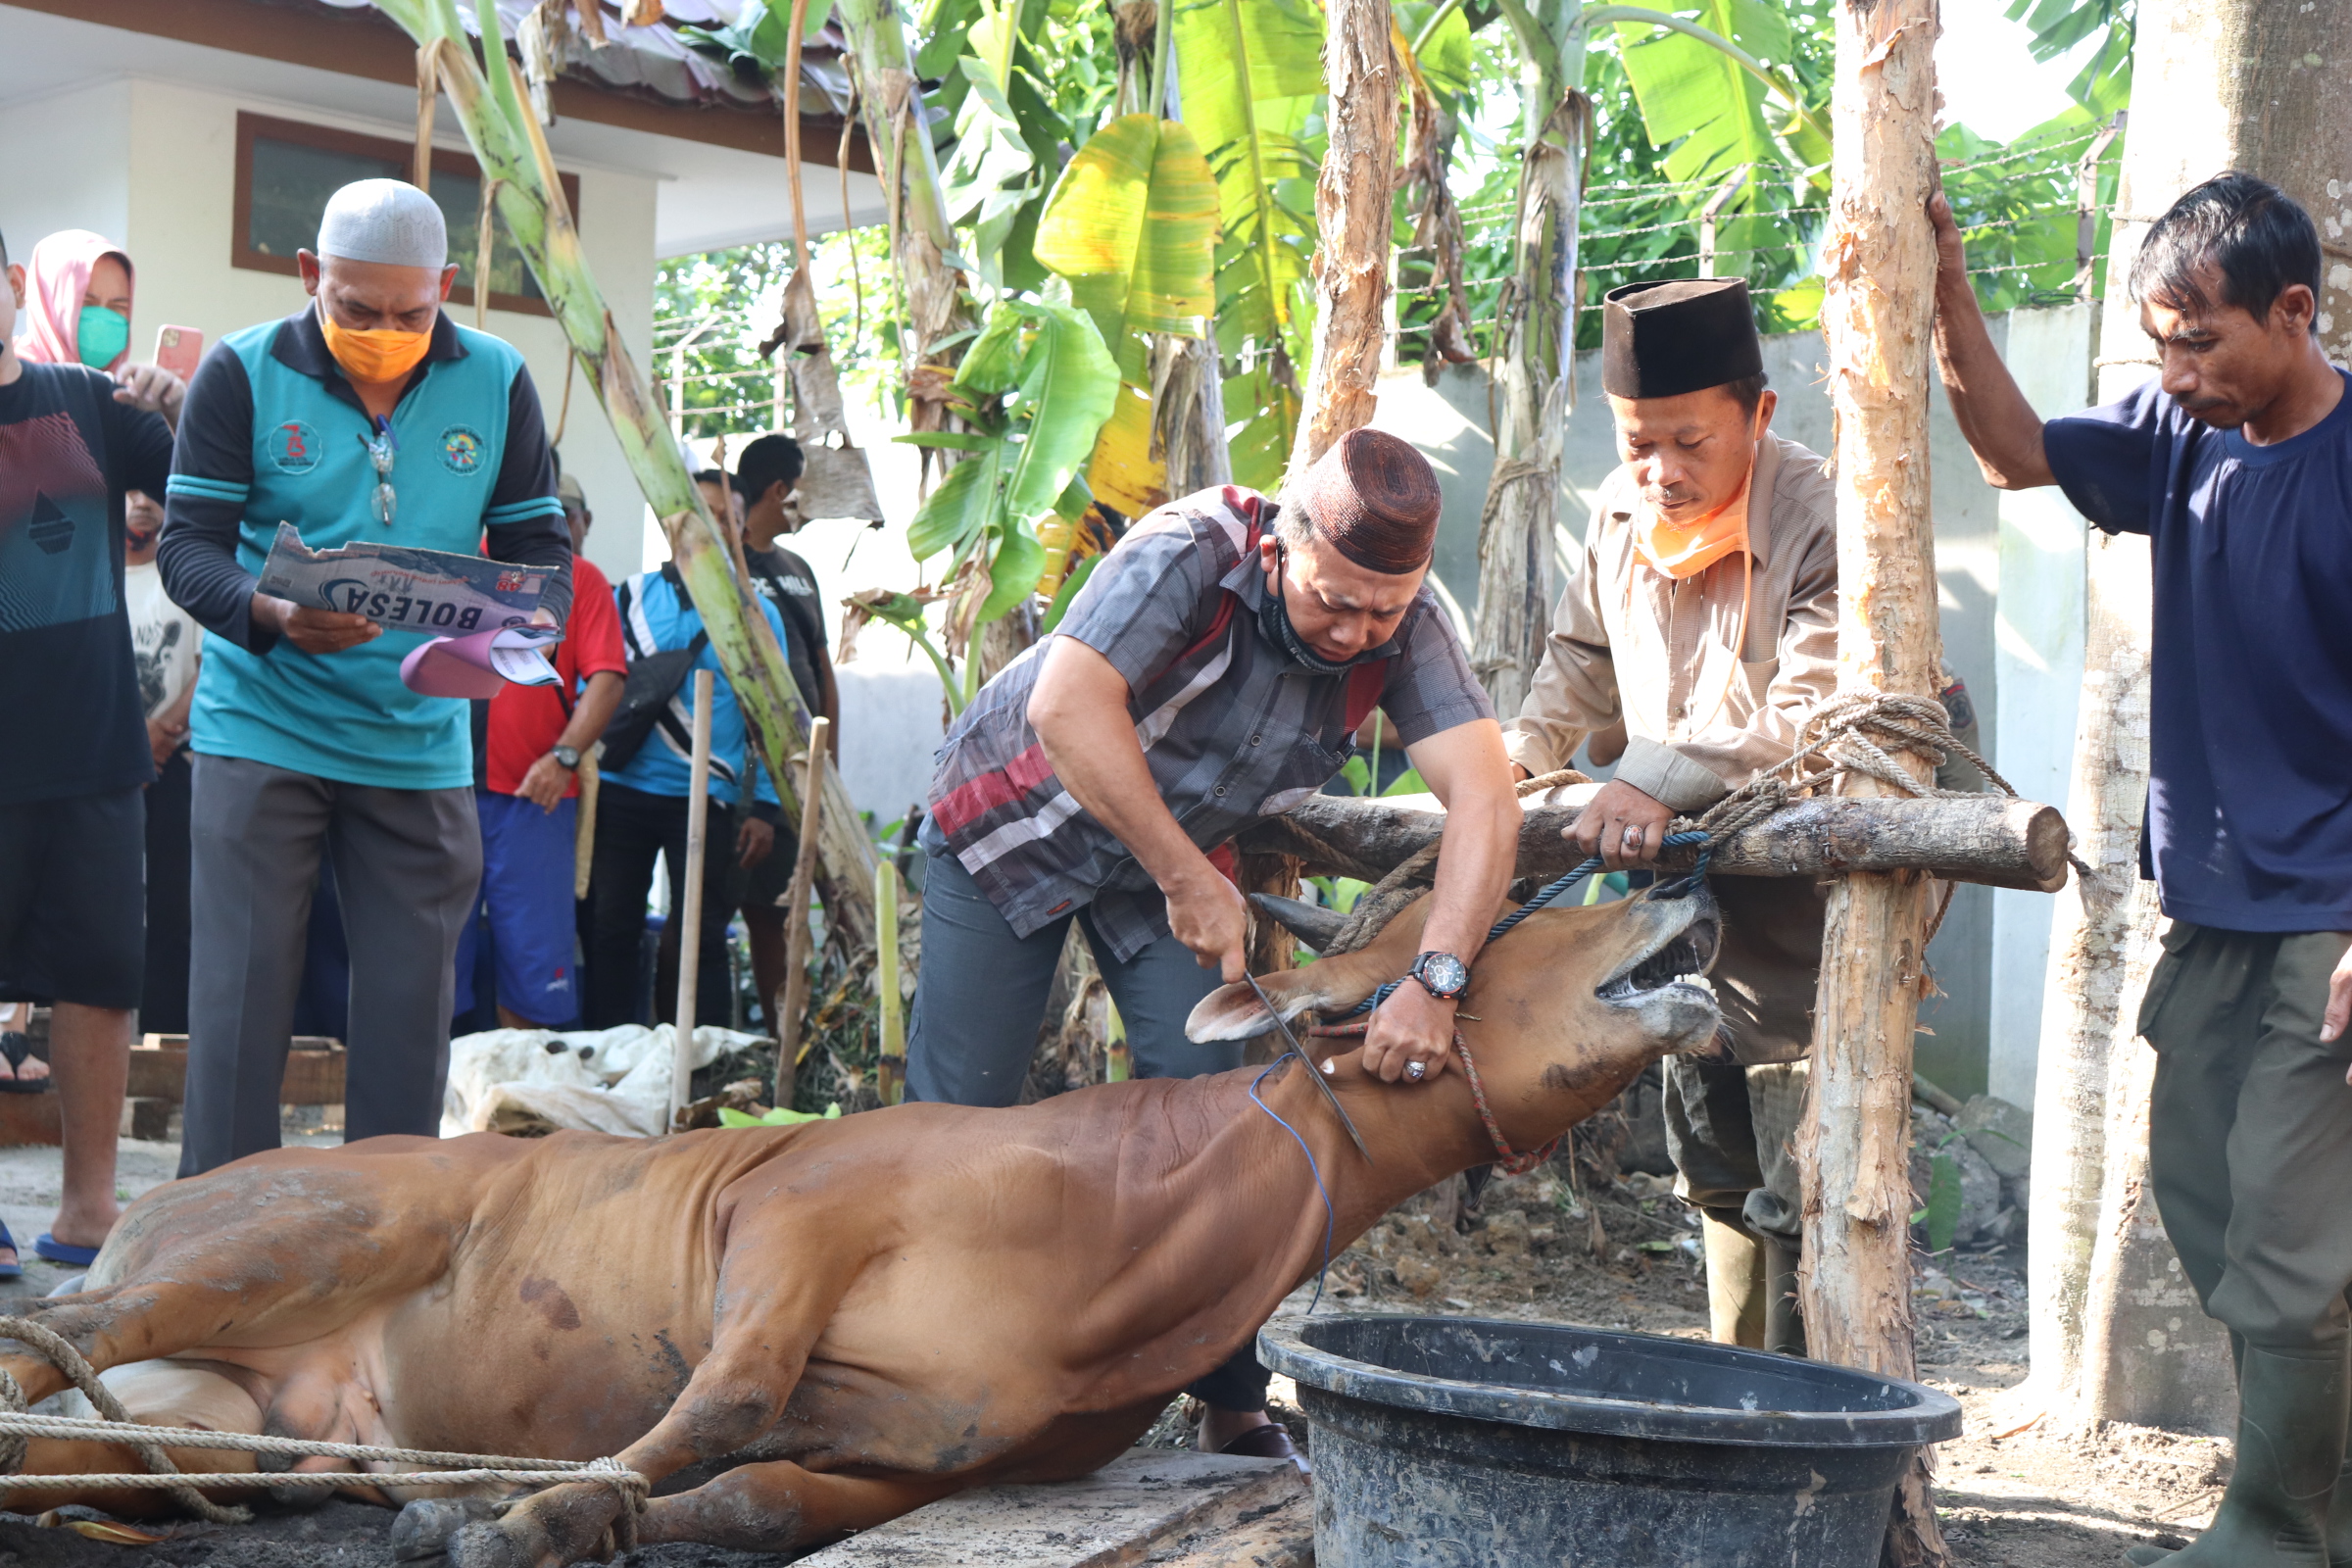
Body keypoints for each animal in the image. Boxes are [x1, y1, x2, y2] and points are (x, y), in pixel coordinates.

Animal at [0, 879, 1721, 1560]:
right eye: (1493, 924)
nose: (1670, 884)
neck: (1134, 1221)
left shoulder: (944, 1453)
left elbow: (761, 1496)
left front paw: (518, 1512)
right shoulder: (793, 1213)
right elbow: (720, 1402)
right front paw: (532, 1513)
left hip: (210, 1430)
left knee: (90, 1437)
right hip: (302, 1240)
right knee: (55, 1326)